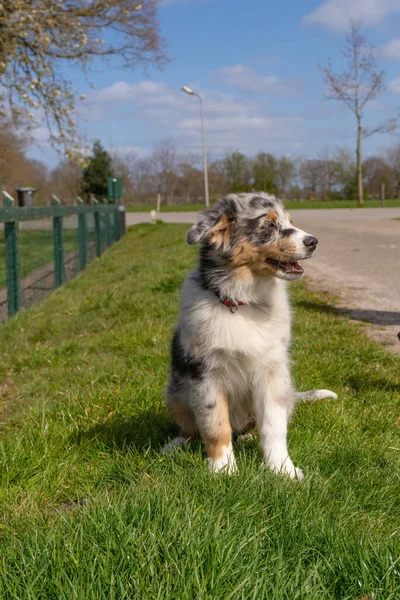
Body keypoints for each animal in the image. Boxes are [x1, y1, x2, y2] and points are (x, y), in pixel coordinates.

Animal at [164, 192, 336, 478]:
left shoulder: (272, 372)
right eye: (269, 225)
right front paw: (223, 469)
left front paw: (283, 470)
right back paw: (175, 444)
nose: (313, 242)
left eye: (290, 221)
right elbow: (215, 424)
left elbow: (274, 426)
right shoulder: (206, 373)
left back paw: (246, 437)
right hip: (176, 391)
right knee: (189, 427)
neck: (242, 303)